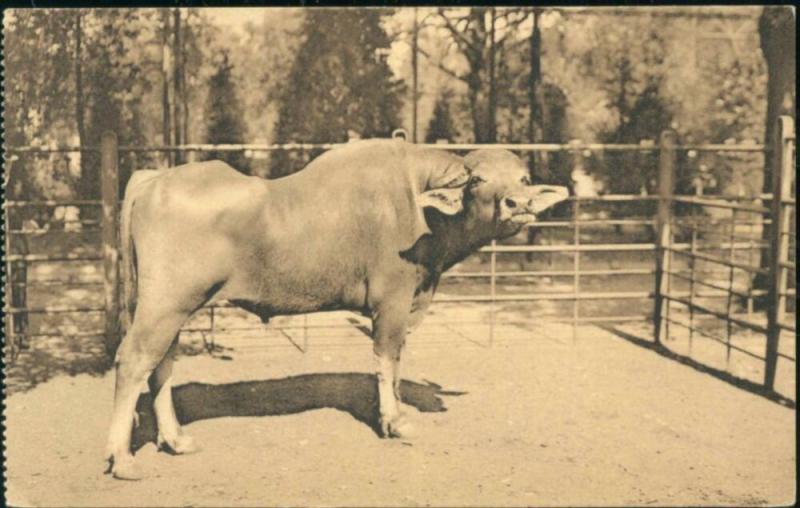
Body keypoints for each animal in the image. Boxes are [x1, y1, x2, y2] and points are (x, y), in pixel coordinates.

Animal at [106, 140, 568, 480]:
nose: (518, 204)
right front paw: (395, 421)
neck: (418, 207)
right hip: (165, 304)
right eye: (478, 179)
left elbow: (397, 362)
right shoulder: (392, 301)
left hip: (173, 308)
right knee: (134, 361)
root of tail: (155, 177)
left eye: (525, 178)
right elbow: (386, 360)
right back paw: (123, 459)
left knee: (161, 365)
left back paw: (175, 440)